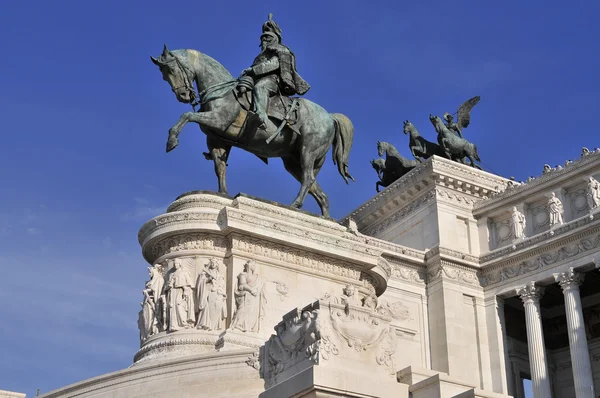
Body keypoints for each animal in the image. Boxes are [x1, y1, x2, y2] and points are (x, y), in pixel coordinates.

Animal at [150, 45, 354, 218]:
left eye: (172, 70)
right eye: (163, 75)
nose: (183, 96)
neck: (222, 92)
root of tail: (329, 116)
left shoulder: (219, 120)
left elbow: (186, 116)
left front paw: (171, 140)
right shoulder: (217, 140)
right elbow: (220, 167)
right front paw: (222, 194)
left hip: (308, 151)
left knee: (308, 178)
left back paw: (295, 205)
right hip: (293, 160)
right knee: (316, 189)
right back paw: (325, 218)